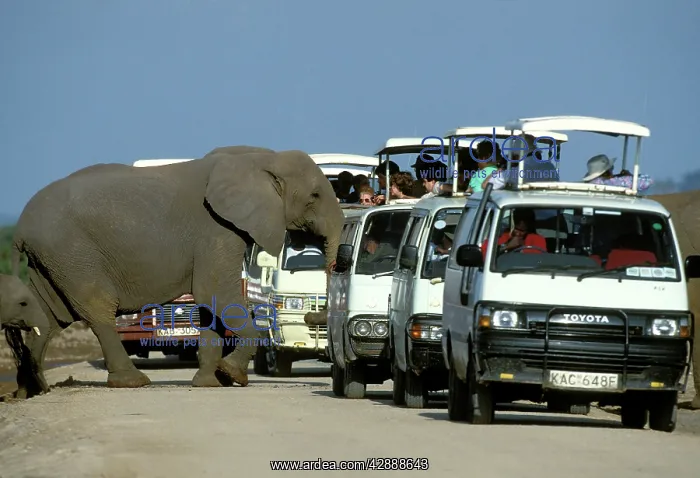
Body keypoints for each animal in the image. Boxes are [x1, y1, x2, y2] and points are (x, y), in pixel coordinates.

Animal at [9, 146, 344, 398]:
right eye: (314, 196)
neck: (262, 159)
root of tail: (20, 228)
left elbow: (210, 305)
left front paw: (210, 383)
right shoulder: (216, 228)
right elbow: (215, 293)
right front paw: (232, 374)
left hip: (52, 260)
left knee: (47, 315)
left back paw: (31, 391)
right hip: (71, 253)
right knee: (97, 307)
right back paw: (131, 382)